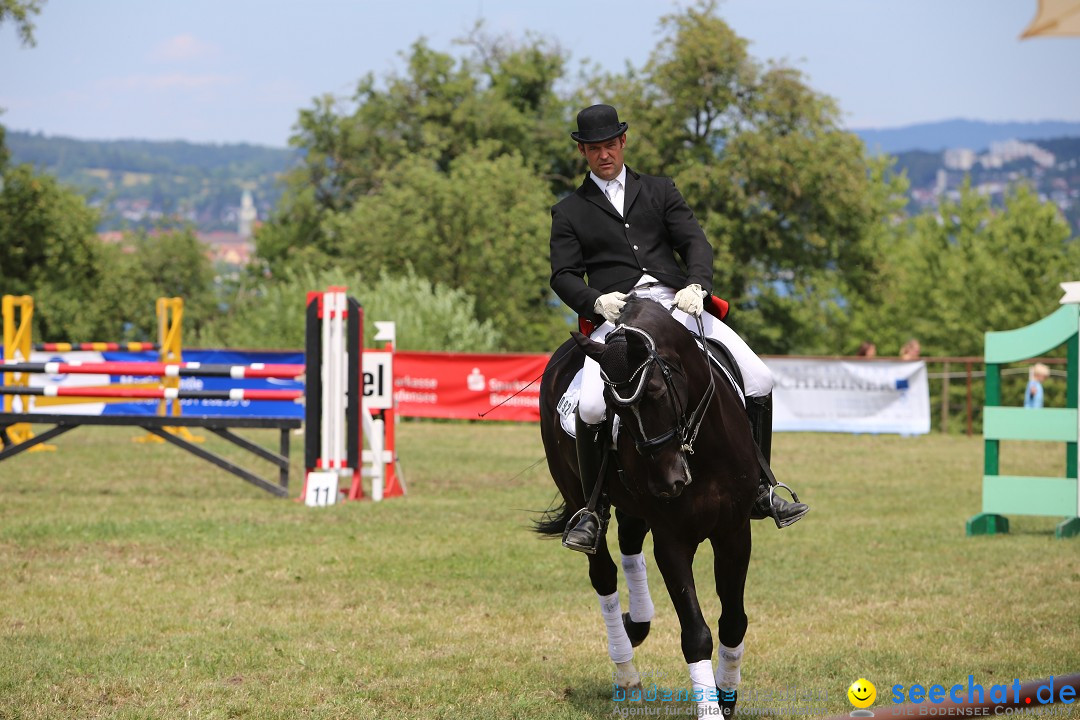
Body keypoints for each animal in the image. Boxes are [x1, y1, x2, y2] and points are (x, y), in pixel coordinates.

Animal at [533, 297, 756, 716]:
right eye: (611, 406)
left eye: (655, 391)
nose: (668, 484)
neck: (701, 451)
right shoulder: (672, 541)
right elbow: (695, 634)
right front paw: (711, 708)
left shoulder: (734, 532)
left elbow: (734, 621)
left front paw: (727, 696)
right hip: (579, 495)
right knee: (603, 573)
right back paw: (626, 670)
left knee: (630, 545)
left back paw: (637, 622)